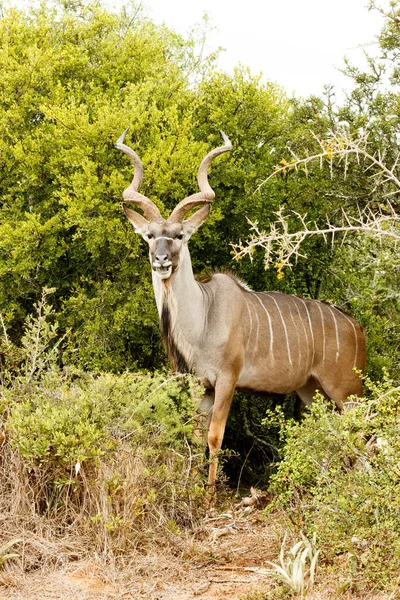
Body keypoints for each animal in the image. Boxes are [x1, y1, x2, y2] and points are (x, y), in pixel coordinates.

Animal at [115, 129, 366, 494]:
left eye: (179, 235)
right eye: (149, 235)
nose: (160, 261)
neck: (203, 317)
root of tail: (357, 328)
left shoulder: (227, 380)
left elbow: (215, 436)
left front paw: (210, 496)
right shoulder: (201, 386)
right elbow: (195, 435)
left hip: (347, 390)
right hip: (312, 391)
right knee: (332, 433)